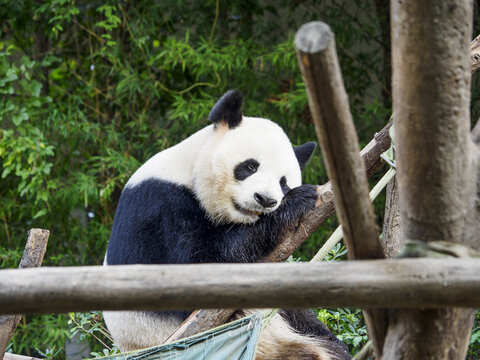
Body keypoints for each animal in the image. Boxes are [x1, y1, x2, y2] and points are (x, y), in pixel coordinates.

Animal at [103, 90, 350, 360]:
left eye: (282, 182)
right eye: (250, 166)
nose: (266, 200)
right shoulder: (161, 205)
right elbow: (202, 264)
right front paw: (296, 202)